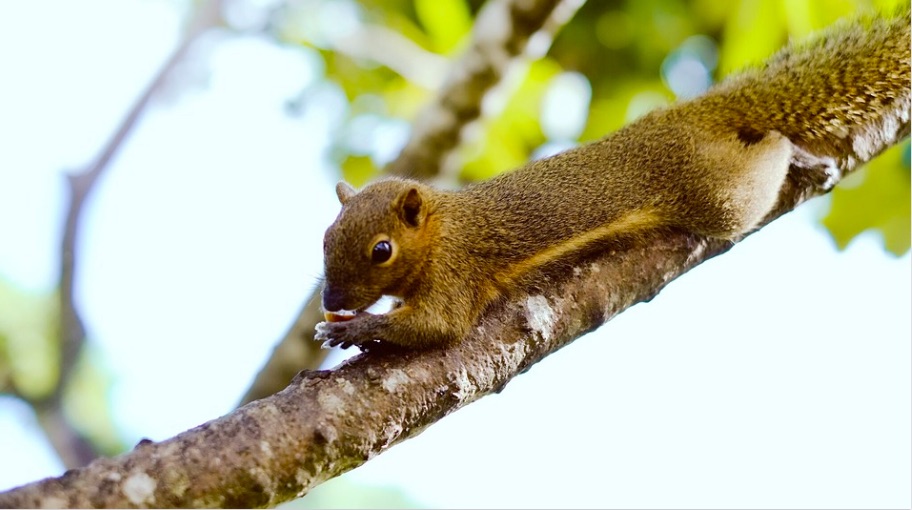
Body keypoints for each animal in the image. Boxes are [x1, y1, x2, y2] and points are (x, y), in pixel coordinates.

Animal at [316, 8, 912, 350]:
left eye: (382, 250)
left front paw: (352, 329)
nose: (330, 299)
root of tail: (692, 114)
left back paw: (795, 153)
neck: (440, 228)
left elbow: (439, 327)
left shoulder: (456, 270)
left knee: (765, 159)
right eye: (324, 237)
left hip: (718, 195)